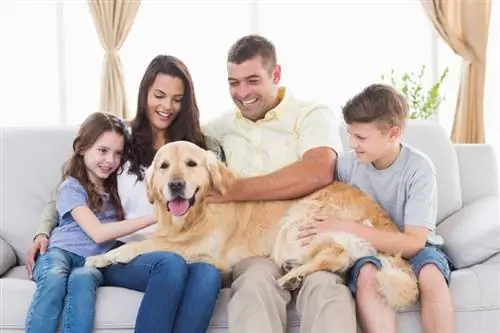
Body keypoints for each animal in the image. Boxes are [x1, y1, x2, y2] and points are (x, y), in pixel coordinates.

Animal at [85, 140, 418, 308]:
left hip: (296, 222)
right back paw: (293, 273)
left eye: (192, 164)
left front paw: (103, 257)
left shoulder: (203, 246)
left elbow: (150, 243)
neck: (198, 212)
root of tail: (383, 219)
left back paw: (291, 276)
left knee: (337, 255)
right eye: (164, 166)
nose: (176, 185)